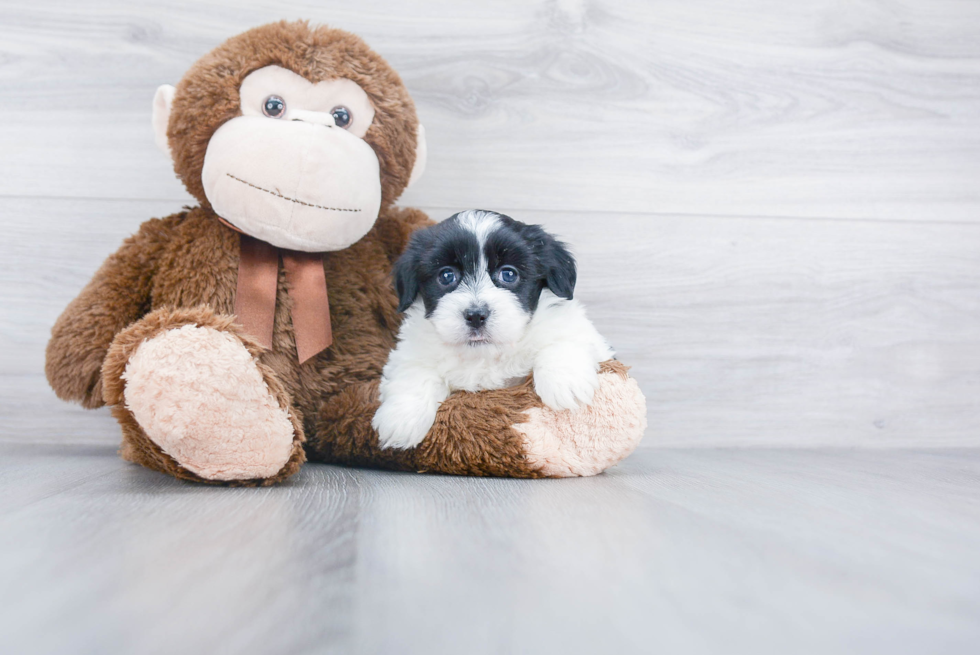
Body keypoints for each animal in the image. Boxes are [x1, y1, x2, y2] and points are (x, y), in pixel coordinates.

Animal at [372, 210, 608, 452]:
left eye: (509, 274)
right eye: (446, 276)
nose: (476, 315)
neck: (486, 354)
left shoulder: (575, 327)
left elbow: (562, 338)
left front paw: (565, 383)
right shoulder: (412, 350)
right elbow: (414, 372)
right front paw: (401, 419)